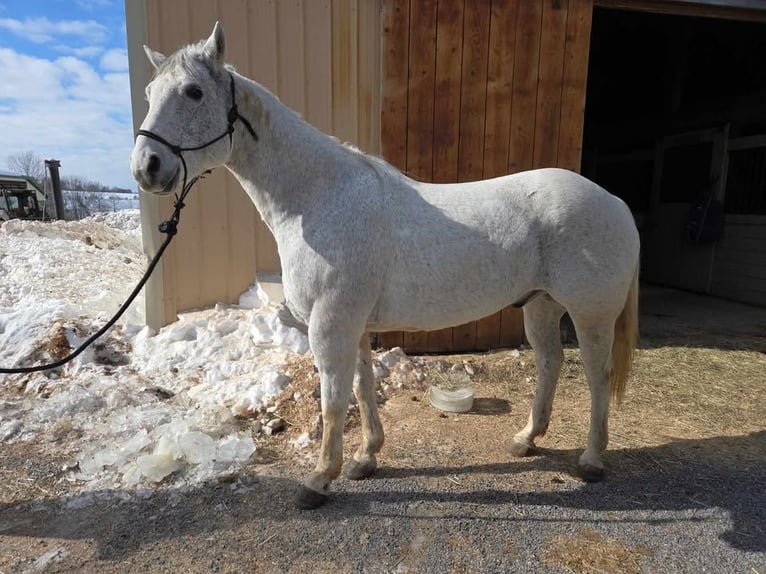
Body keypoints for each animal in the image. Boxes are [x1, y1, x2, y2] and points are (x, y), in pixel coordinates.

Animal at [131, 23, 640, 509]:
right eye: (150, 93)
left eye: (194, 92)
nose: (147, 167)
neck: (317, 197)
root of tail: (614, 201)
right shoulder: (353, 324)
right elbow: (361, 389)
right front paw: (364, 458)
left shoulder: (330, 324)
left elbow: (333, 403)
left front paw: (319, 480)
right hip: (541, 305)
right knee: (550, 362)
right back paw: (526, 440)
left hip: (590, 314)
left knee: (596, 375)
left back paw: (592, 460)